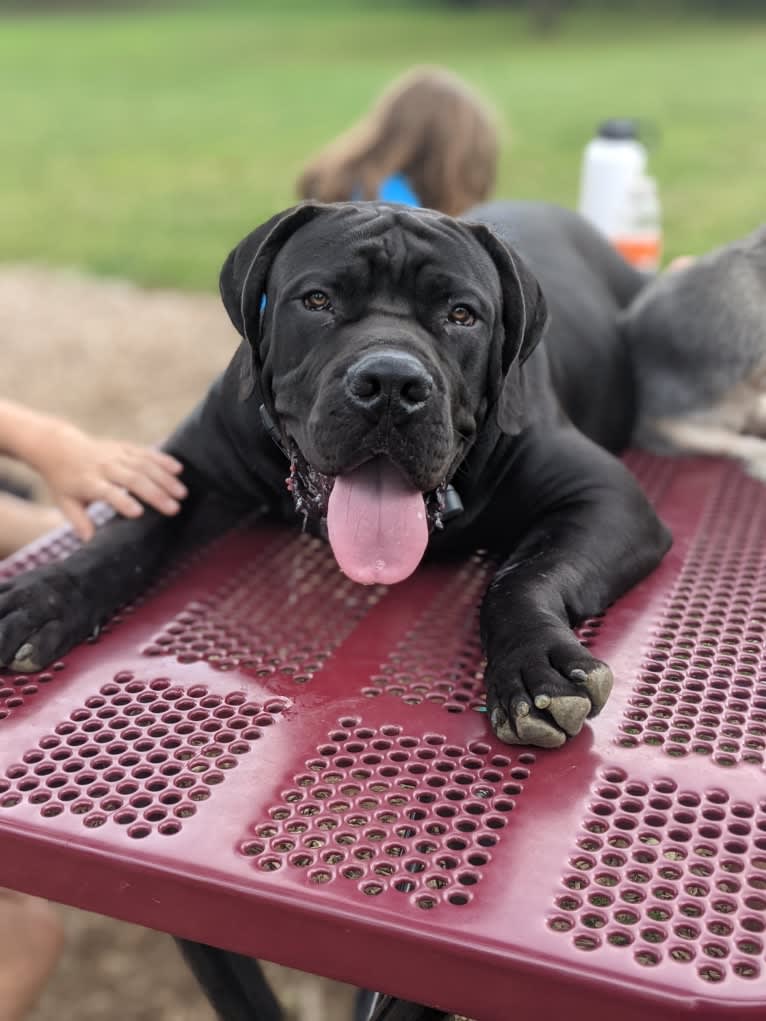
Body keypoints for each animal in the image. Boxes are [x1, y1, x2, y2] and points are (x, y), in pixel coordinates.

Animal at [0, 203, 669, 755]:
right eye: (318, 300)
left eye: (462, 315)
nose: (392, 384)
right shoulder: (184, 468)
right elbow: (126, 537)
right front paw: (40, 597)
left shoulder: (606, 497)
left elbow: (523, 575)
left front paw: (533, 666)